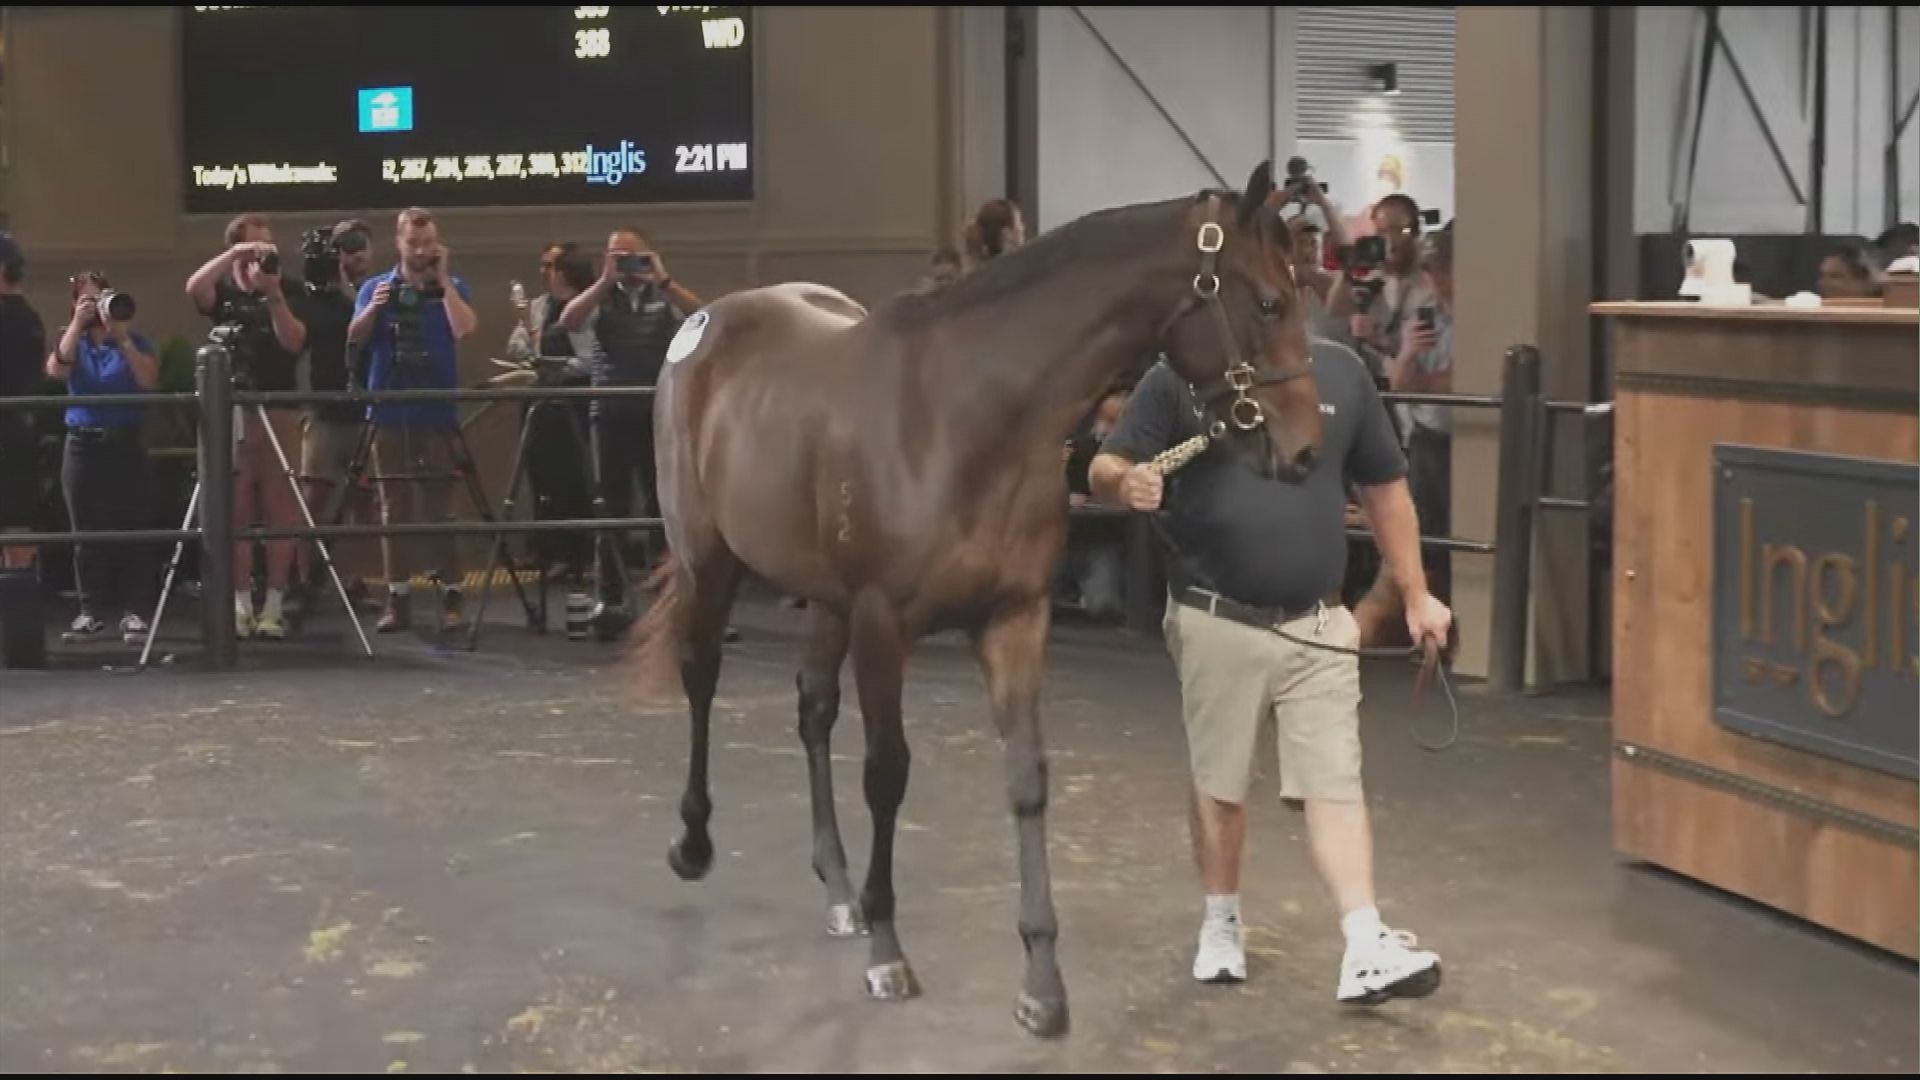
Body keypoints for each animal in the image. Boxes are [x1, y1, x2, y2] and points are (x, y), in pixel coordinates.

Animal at [637, 161, 1328, 1037]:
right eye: (1269, 302)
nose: (1306, 453)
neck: (963, 414)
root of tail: (707, 322)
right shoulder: (882, 621)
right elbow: (887, 773)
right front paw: (889, 951)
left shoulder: (1015, 618)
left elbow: (1027, 779)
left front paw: (1042, 982)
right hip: (710, 562)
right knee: (700, 677)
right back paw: (694, 845)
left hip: (822, 599)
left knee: (813, 711)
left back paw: (837, 888)